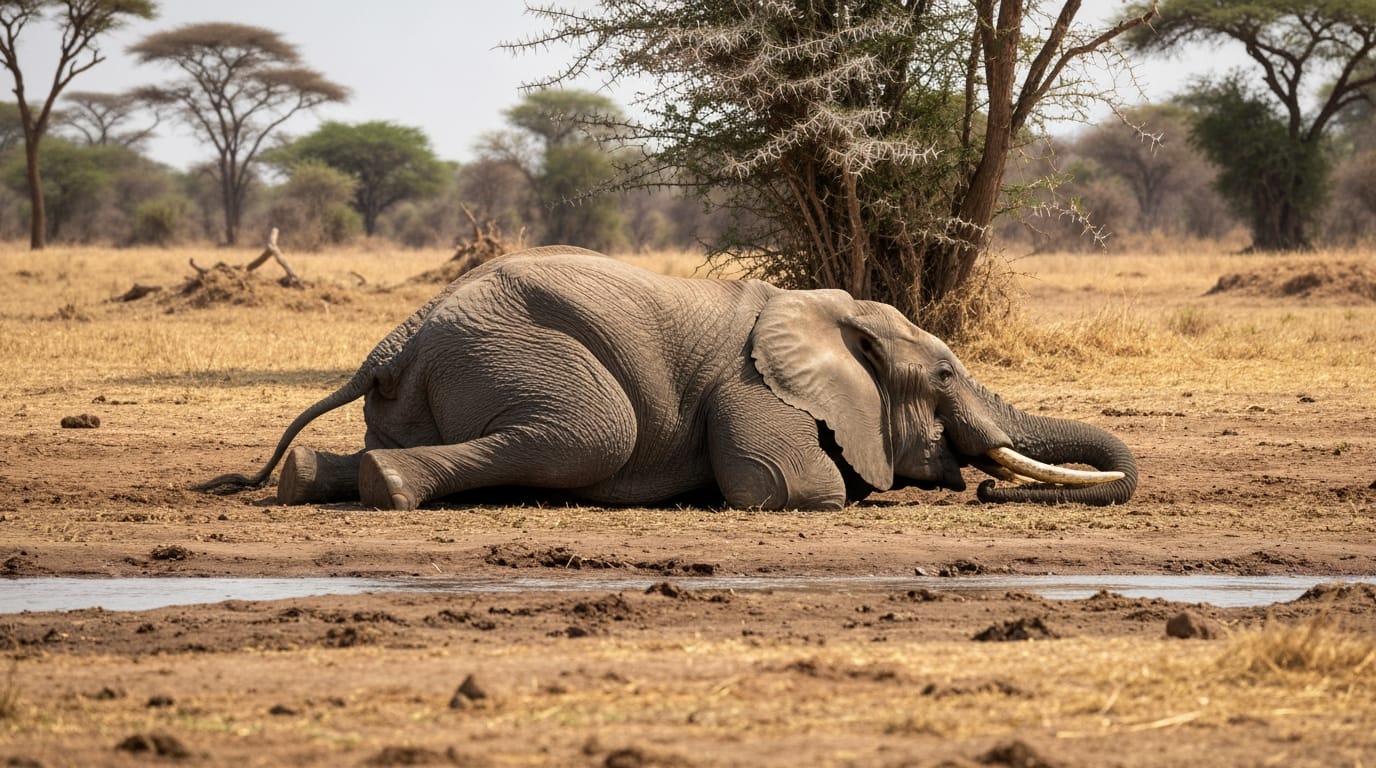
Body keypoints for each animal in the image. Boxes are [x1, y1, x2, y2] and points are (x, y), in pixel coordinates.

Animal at [198, 246, 1138, 509]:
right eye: (943, 376)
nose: (987, 490)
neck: (830, 312)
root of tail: (395, 339)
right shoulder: (754, 390)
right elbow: (790, 487)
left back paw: (306, 481)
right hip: (521, 355)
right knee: (590, 436)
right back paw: (391, 491)